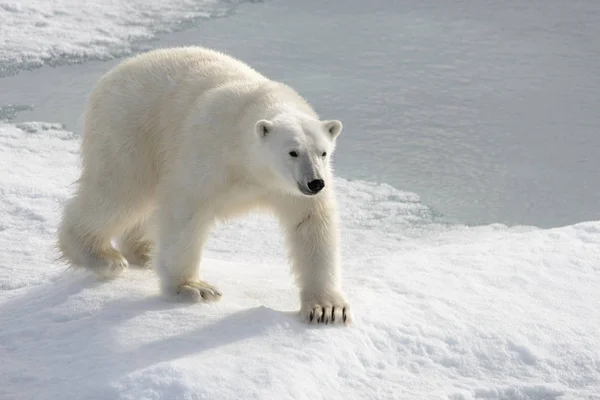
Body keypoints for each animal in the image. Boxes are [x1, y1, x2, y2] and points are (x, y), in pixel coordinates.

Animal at [56, 46, 352, 324]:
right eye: (293, 152)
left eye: (323, 152)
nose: (315, 182)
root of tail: (110, 76)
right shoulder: (210, 152)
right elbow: (186, 210)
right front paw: (194, 288)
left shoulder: (288, 189)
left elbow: (311, 223)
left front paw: (327, 309)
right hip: (129, 129)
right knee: (120, 190)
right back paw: (103, 256)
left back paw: (144, 250)